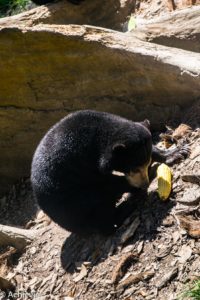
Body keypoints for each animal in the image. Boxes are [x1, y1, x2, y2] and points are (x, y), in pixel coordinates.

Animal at [30, 110, 188, 234]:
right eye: (133, 168)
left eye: (144, 164)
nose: (144, 183)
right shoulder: (81, 166)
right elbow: (107, 182)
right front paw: (150, 174)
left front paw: (177, 152)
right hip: (73, 203)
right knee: (99, 204)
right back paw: (125, 208)